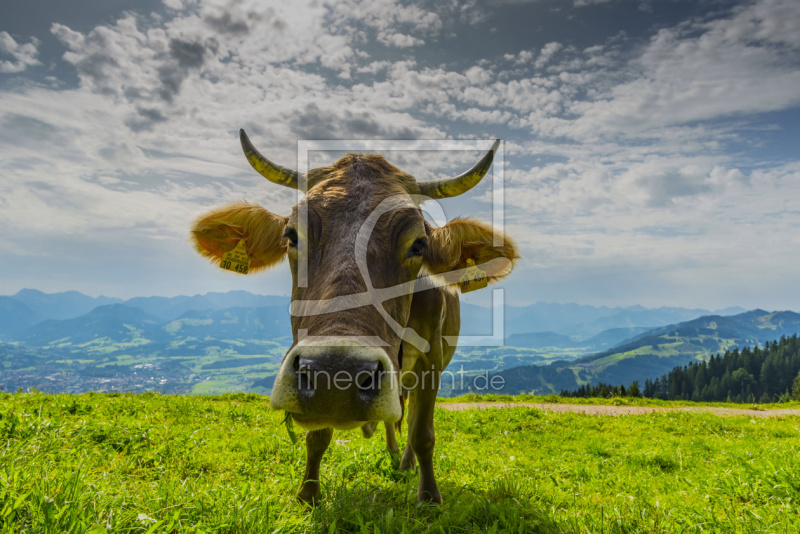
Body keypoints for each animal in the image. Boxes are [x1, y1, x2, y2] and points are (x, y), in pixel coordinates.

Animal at [193, 132, 520, 508]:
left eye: (419, 244)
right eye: (292, 236)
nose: (338, 374)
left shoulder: (432, 357)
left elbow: (422, 432)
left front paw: (429, 498)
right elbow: (317, 436)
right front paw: (308, 493)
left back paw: (404, 463)